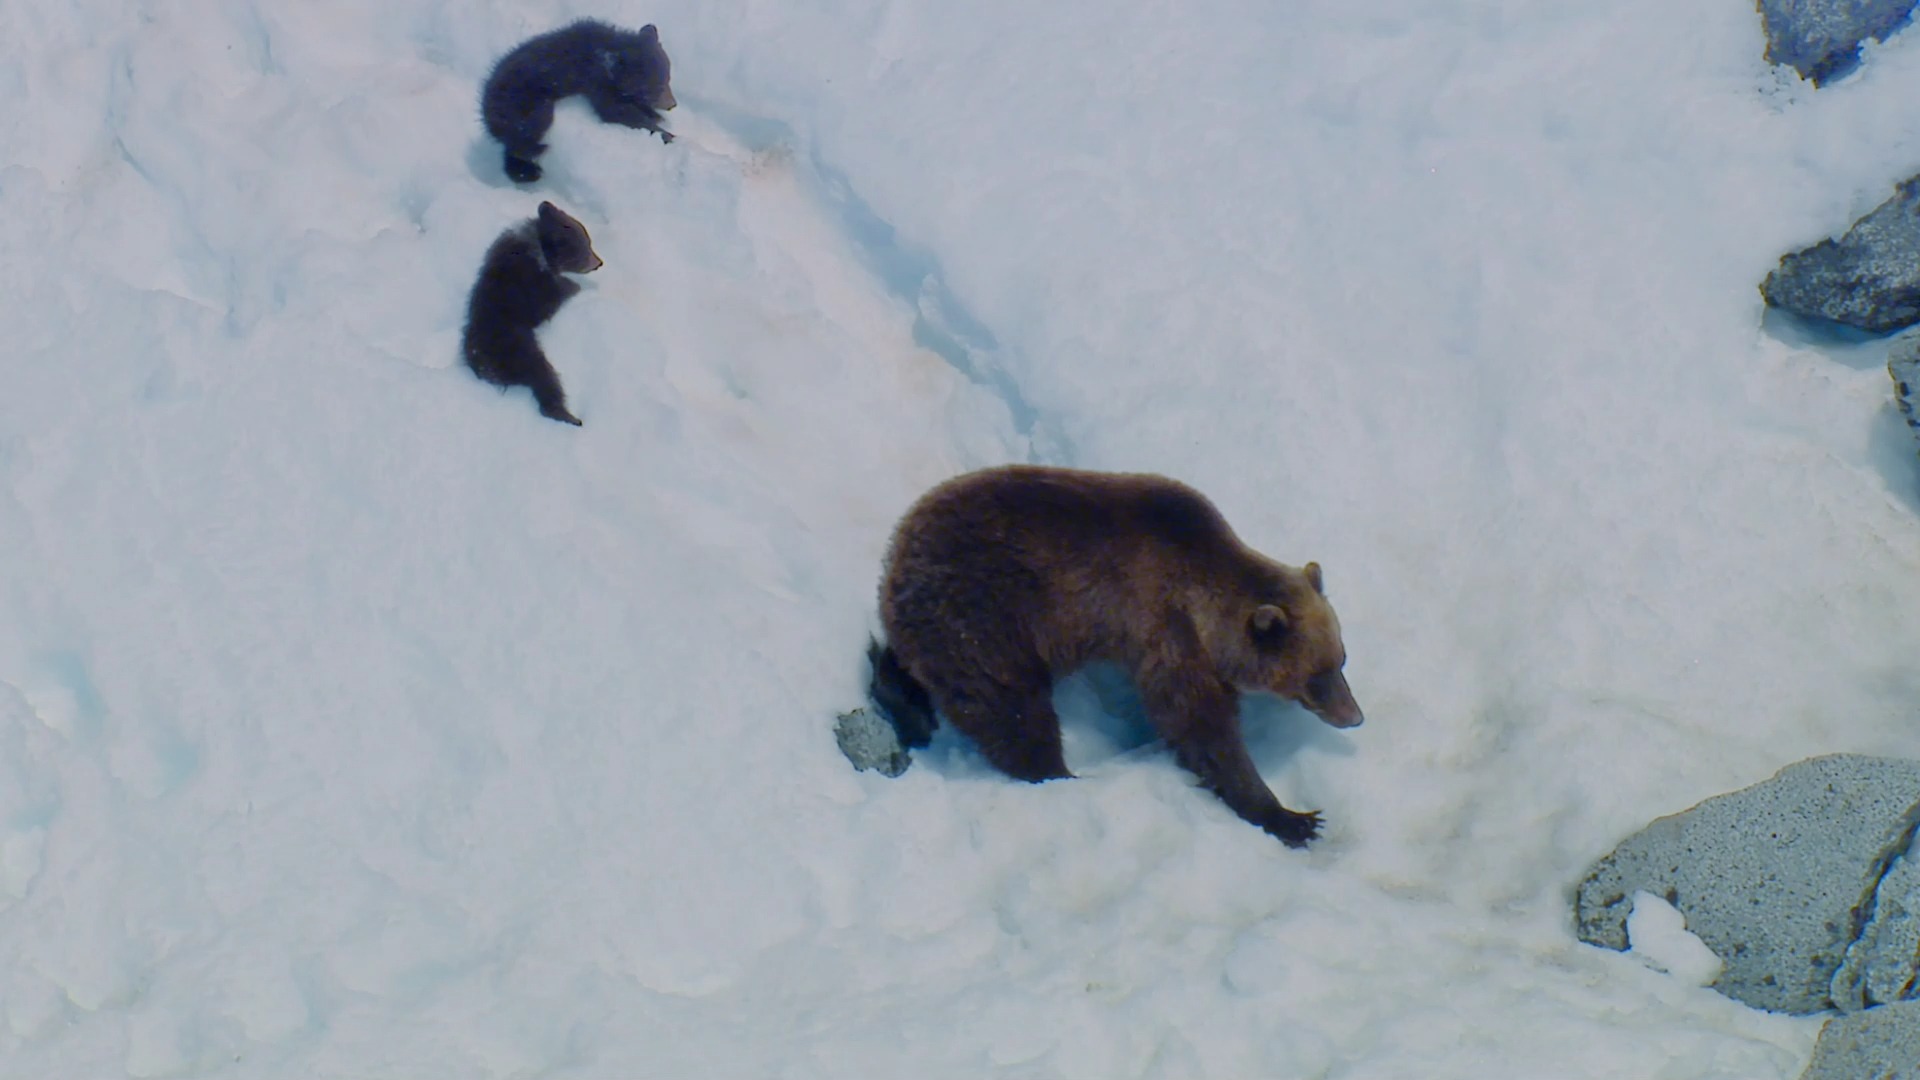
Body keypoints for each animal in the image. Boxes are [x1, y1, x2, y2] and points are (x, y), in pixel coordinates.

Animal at [875, 466, 1367, 845]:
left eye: (1342, 660)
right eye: (1316, 675)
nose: (1354, 716)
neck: (1205, 604)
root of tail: (894, 558)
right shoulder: (1163, 630)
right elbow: (1200, 725)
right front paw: (1292, 817)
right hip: (980, 622)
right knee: (1011, 710)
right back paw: (1057, 773)